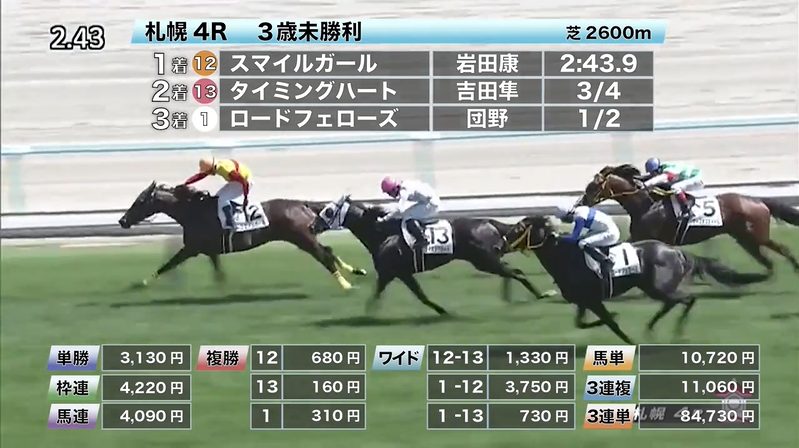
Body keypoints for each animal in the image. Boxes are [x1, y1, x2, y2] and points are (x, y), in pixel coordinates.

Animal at [117, 181, 367, 289]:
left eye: (140, 201)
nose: (122, 221)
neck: (193, 211)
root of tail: (301, 204)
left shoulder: (191, 248)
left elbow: (168, 264)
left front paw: (141, 282)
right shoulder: (209, 251)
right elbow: (218, 272)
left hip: (302, 238)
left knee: (324, 256)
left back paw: (345, 284)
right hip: (306, 237)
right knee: (328, 251)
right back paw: (356, 271)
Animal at [309, 194, 553, 315]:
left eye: (328, 211)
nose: (311, 226)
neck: (382, 233)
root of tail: (488, 222)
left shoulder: (389, 272)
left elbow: (379, 295)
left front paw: (368, 315)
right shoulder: (401, 274)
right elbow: (420, 296)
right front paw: (442, 310)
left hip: (485, 260)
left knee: (516, 272)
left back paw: (542, 295)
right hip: (489, 259)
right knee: (512, 272)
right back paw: (510, 298)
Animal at [504, 215, 770, 343]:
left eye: (519, 228)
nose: (501, 242)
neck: (567, 257)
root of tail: (676, 251)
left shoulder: (593, 300)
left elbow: (610, 322)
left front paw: (627, 337)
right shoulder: (584, 301)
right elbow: (582, 324)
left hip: (658, 286)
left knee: (687, 299)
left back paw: (675, 332)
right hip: (653, 287)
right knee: (673, 302)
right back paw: (652, 329)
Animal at [577, 164, 799, 275]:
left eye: (593, 187)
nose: (581, 202)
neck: (647, 205)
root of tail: (758, 201)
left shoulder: (644, 237)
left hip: (756, 235)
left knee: (782, 250)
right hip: (745, 238)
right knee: (767, 261)